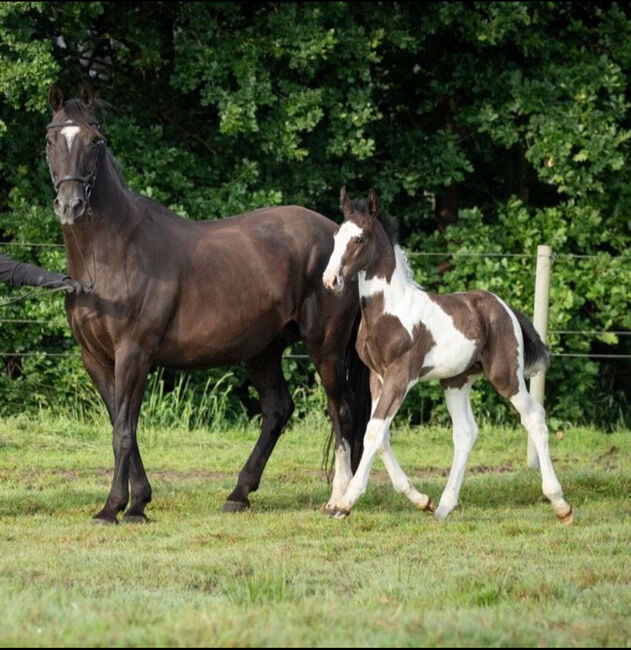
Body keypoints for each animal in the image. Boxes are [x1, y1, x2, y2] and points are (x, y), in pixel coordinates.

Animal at [324, 187, 576, 520]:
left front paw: (344, 503)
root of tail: (504, 308)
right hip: (456, 381)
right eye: (337, 235)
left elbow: (374, 433)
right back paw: (443, 506)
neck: (389, 311)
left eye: (360, 239)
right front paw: (420, 499)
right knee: (466, 432)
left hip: (505, 375)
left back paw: (560, 503)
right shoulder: (377, 378)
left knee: (534, 416)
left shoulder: (400, 377)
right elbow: (380, 435)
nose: (330, 281)